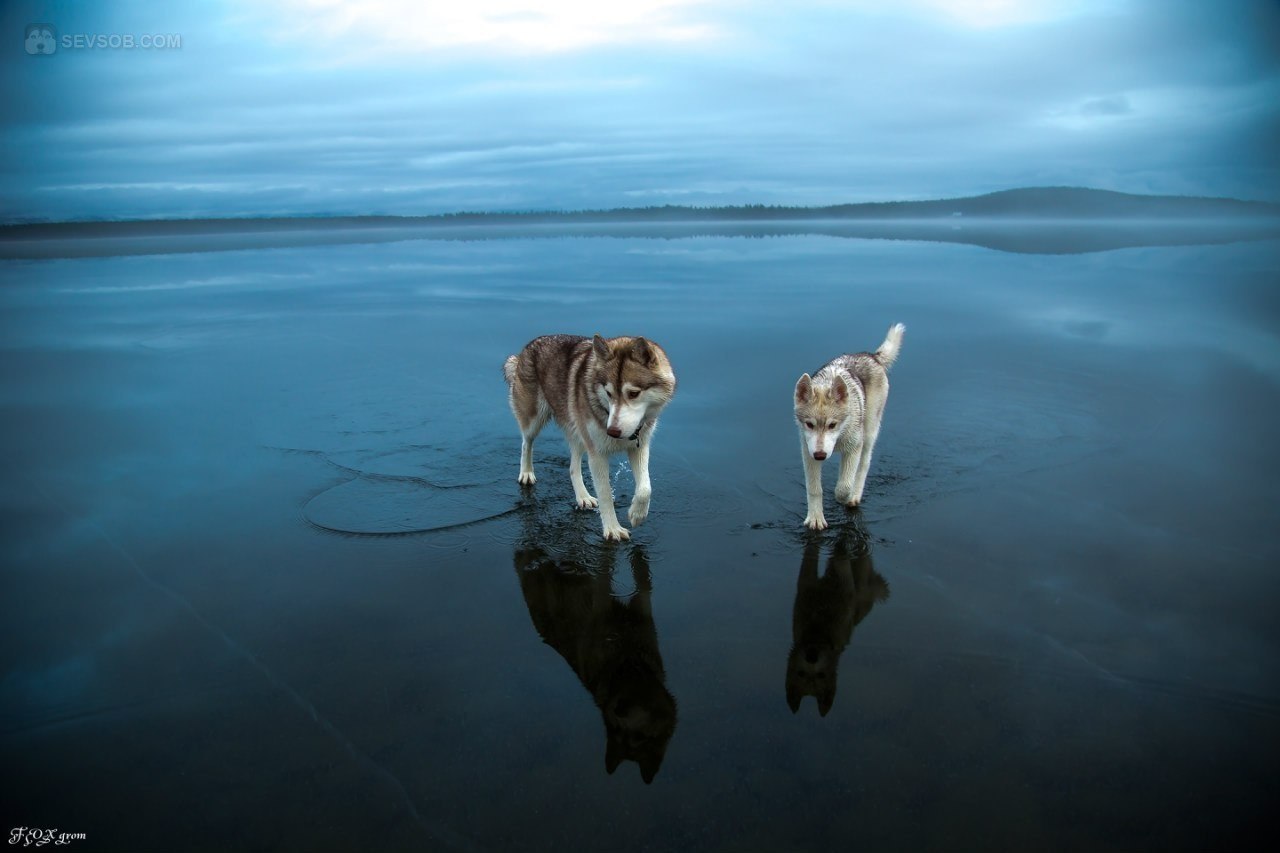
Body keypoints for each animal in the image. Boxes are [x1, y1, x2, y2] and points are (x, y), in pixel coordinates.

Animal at [501, 333, 675, 537]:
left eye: (633, 393)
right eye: (608, 393)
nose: (612, 431)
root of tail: (530, 345)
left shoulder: (639, 446)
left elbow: (645, 488)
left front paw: (637, 514)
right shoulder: (597, 454)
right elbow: (606, 494)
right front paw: (612, 529)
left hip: (579, 433)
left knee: (572, 467)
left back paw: (582, 496)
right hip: (534, 420)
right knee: (526, 443)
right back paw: (527, 473)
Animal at [793, 322, 906, 527]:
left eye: (832, 425)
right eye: (809, 424)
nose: (821, 455)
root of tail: (870, 355)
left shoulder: (853, 447)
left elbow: (844, 486)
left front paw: (845, 496)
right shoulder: (808, 452)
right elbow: (814, 489)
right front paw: (815, 518)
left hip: (869, 432)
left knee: (864, 463)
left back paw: (855, 495)